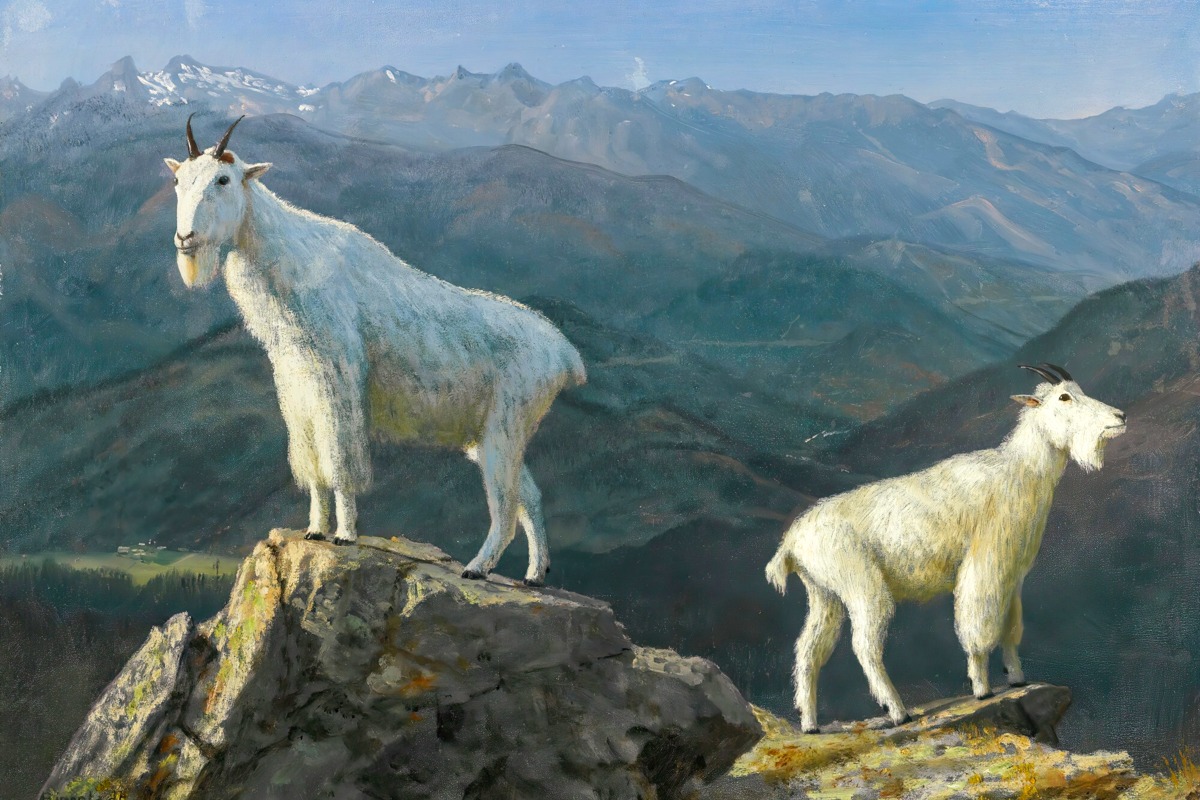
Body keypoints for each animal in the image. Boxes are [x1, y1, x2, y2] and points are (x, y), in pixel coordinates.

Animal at [164, 115, 586, 586]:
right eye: (178, 180)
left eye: (223, 179)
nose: (185, 238)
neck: (291, 261)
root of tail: (566, 355)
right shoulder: (296, 388)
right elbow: (312, 464)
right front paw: (313, 530)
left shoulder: (339, 378)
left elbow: (339, 458)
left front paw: (345, 534)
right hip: (492, 433)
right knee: (529, 494)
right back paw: (534, 574)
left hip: (506, 425)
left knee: (506, 504)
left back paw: (477, 567)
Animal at [766, 363, 1126, 732]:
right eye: (1064, 397)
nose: (1120, 416)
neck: (1020, 471)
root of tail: (791, 543)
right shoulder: (984, 562)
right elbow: (978, 627)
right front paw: (981, 689)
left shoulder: (1013, 574)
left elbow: (1011, 628)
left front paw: (1017, 679)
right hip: (862, 588)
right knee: (864, 647)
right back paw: (898, 712)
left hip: (824, 594)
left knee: (808, 652)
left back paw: (810, 724)